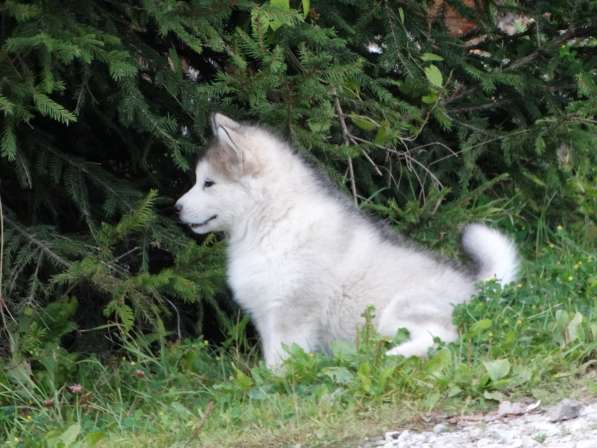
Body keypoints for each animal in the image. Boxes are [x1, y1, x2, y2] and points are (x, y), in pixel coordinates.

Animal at [176, 113, 516, 368]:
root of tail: (477, 287)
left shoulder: (291, 313)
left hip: (400, 309)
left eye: (208, 183)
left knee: (443, 337)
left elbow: (283, 360)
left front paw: (275, 386)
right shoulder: (266, 315)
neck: (272, 220)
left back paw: (390, 355)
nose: (176, 207)